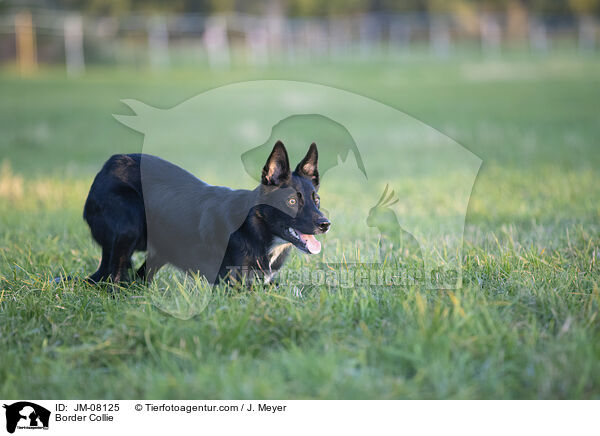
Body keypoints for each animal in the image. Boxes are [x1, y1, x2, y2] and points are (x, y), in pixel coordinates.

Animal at [81, 141, 328, 286]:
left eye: (316, 200)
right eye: (292, 201)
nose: (326, 224)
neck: (256, 228)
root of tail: (107, 166)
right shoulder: (233, 287)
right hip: (129, 225)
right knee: (114, 279)